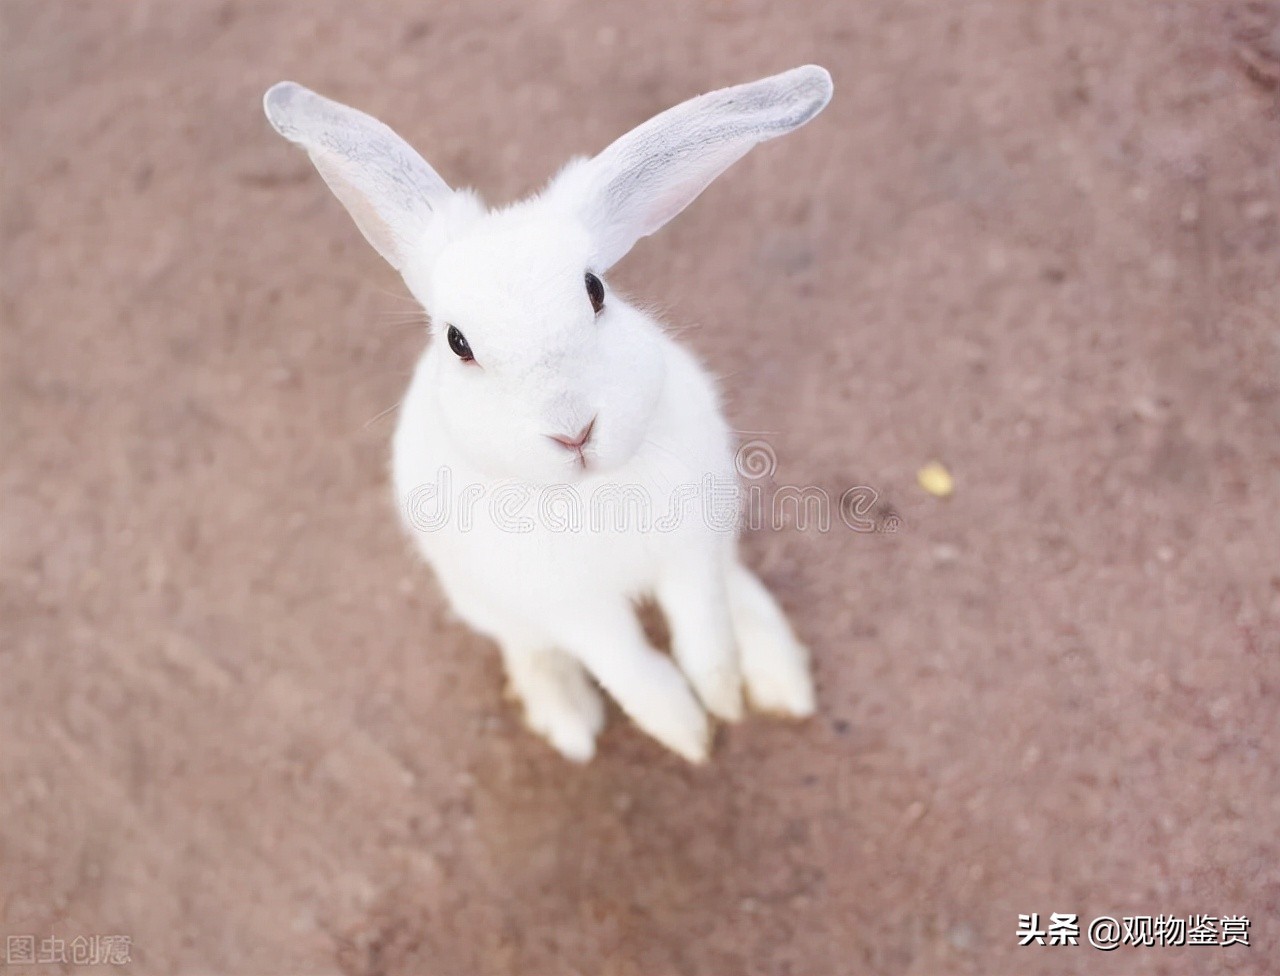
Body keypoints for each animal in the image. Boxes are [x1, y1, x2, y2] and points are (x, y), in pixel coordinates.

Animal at [264, 64, 834, 758]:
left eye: (596, 291)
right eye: (457, 342)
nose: (575, 431)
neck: (590, 492)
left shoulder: (690, 552)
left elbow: (704, 634)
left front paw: (722, 701)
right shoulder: (572, 606)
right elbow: (630, 667)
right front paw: (688, 734)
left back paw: (780, 676)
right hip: (485, 602)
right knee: (531, 649)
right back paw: (568, 721)